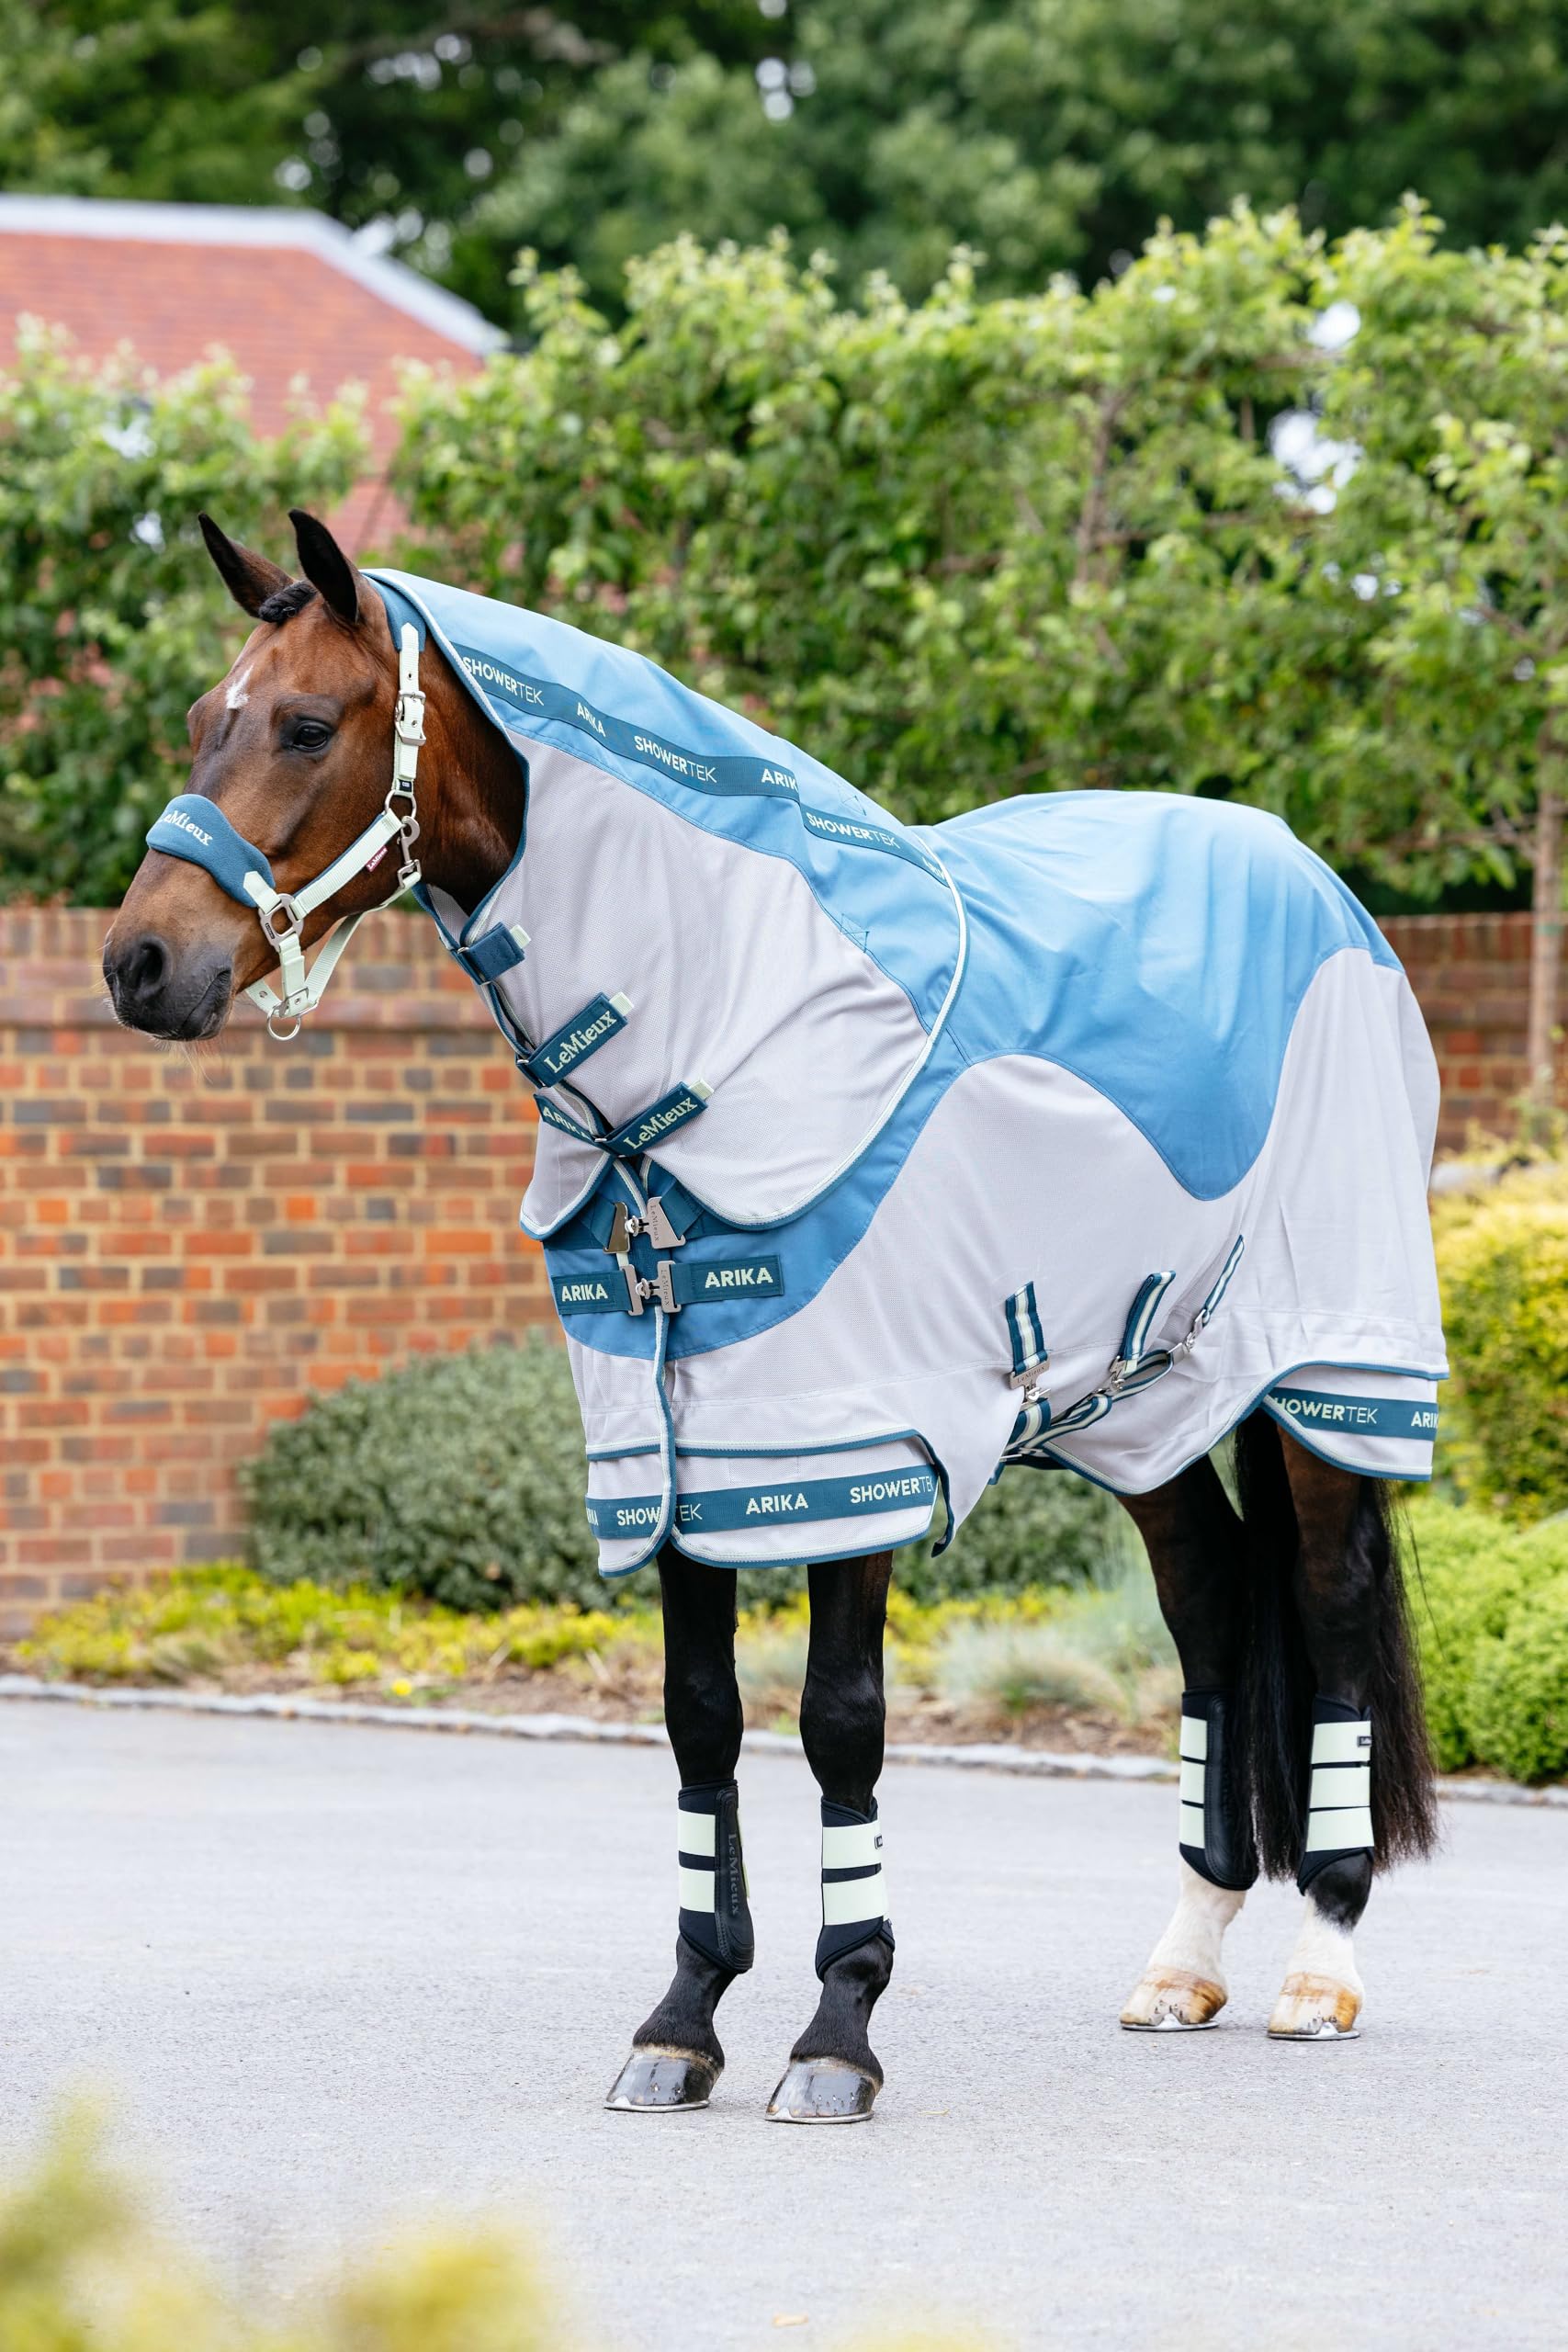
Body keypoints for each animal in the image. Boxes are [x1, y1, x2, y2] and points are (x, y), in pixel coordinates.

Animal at [104, 509, 1442, 2123]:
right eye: (202, 718)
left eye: (306, 724)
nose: (139, 965)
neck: (732, 1042)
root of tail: (1314, 879)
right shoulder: (679, 1452)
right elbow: (698, 1716)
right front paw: (682, 2020)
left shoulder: (850, 1450)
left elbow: (837, 1721)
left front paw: (835, 2030)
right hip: (1148, 1404)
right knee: (1209, 1611)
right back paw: (1182, 1962)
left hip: (1327, 1371)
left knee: (1325, 1603)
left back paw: (1318, 1965)